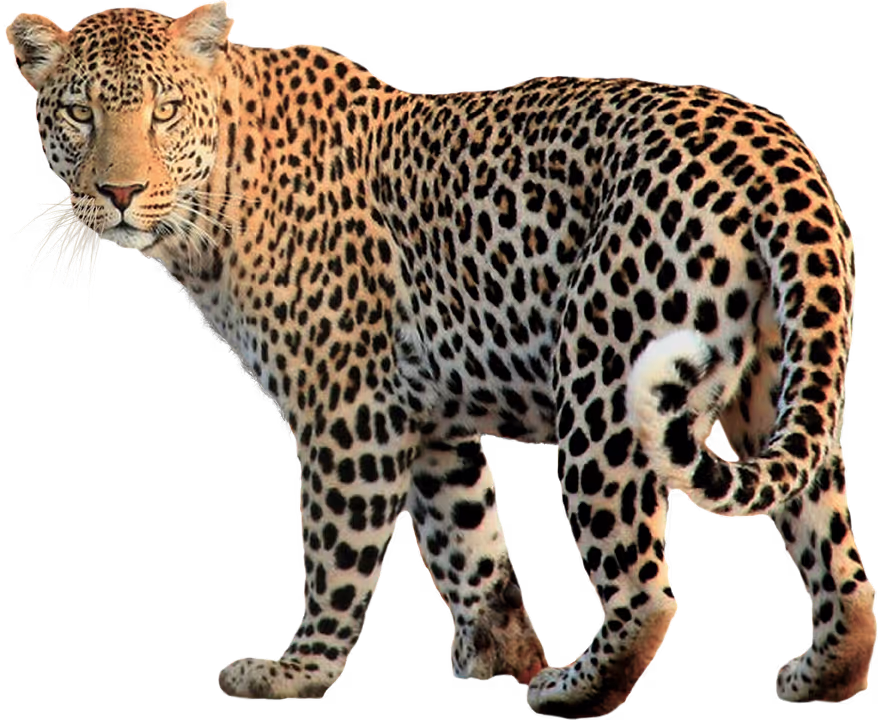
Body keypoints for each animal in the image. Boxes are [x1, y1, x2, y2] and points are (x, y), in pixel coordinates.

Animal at [4, 2, 874, 715]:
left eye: (165, 112)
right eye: (80, 114)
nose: (119, 193)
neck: (211, 206)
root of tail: (777, 154)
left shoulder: (348, 410)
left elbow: (335, 551)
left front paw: (298, 671)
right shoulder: (428, 424)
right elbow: (472, 549)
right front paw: (506, 657)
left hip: (603, 380)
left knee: (646, 588)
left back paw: (575, 689)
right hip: (779, 384)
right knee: (839, 559)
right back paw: (822, 673)